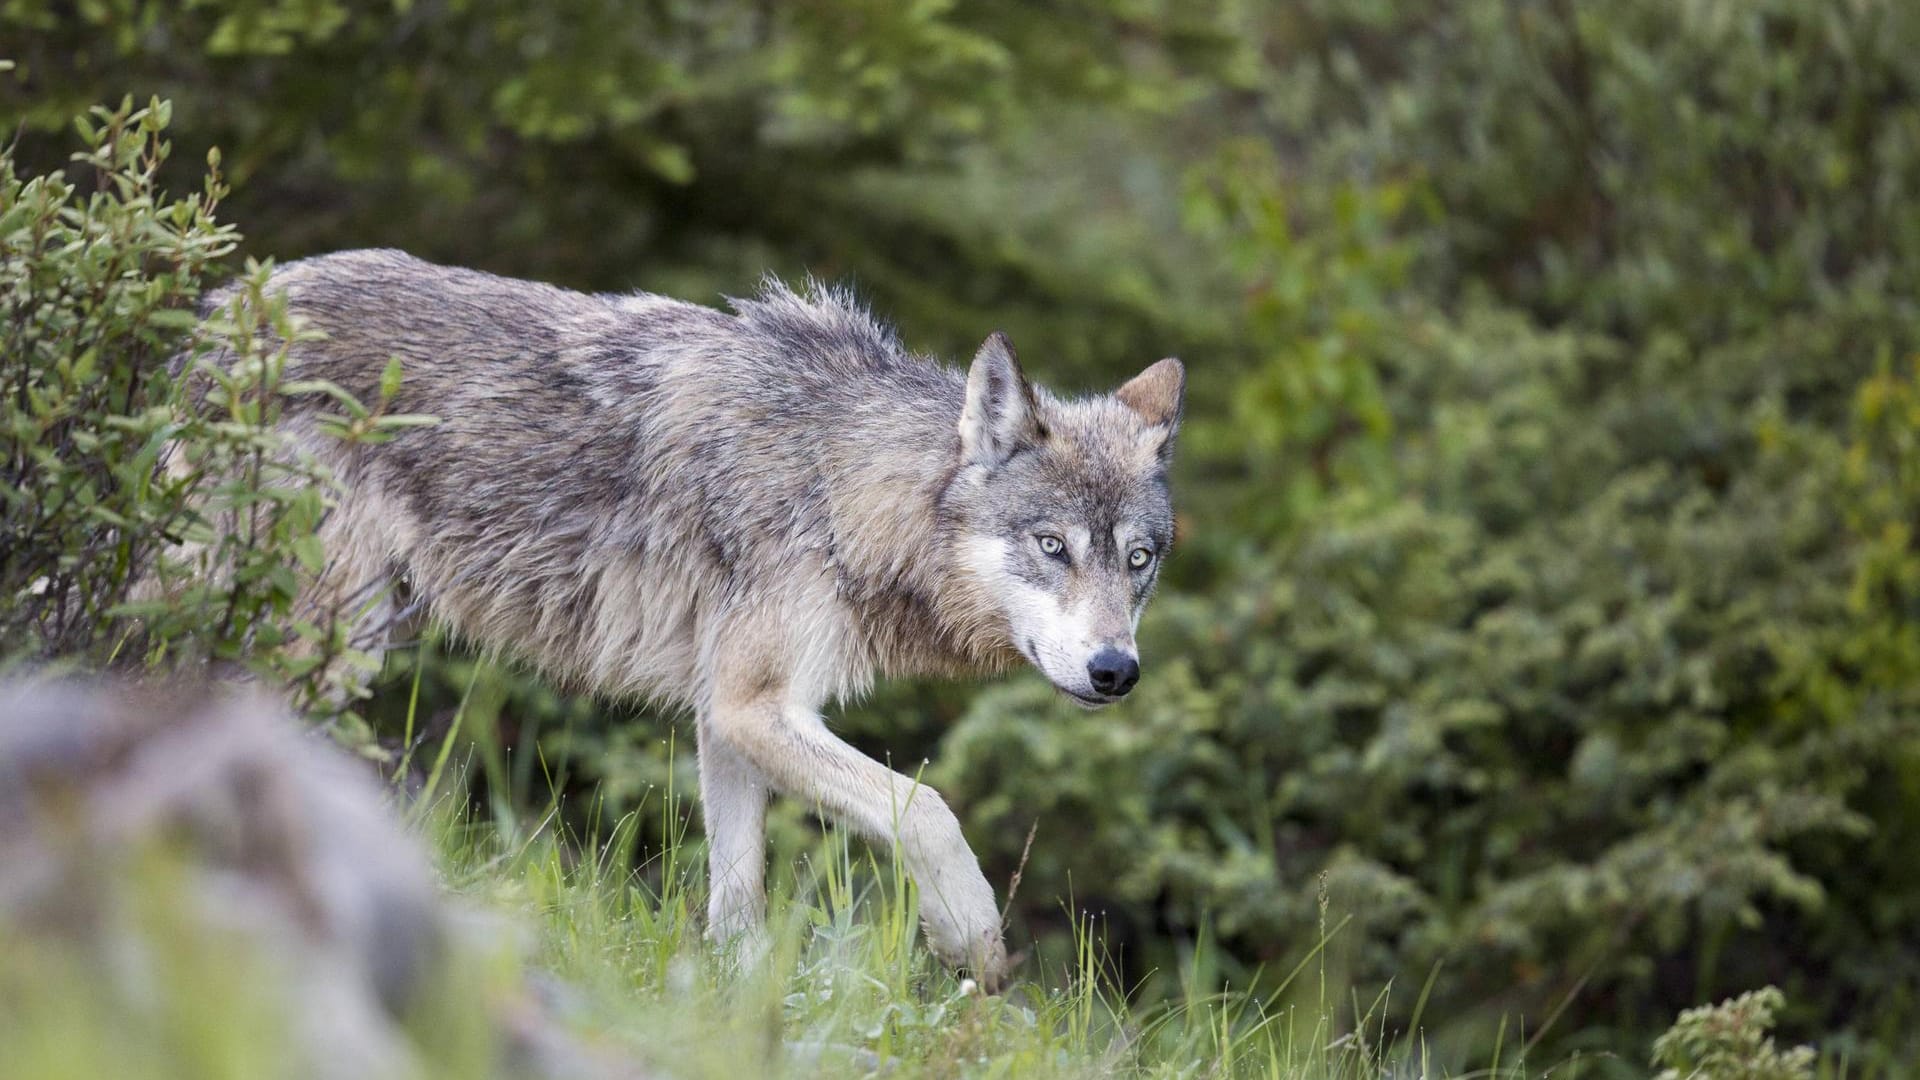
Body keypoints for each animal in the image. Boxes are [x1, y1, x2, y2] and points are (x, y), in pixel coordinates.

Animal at [206, 249, 1182, 983]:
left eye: (1138, 561)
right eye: (1053, 546)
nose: (1116, 672)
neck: (840, 481)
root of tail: (224, 309)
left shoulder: (727, 713)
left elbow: (737, 895)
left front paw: (735, 1001)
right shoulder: (755, 706)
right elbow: (927, 806)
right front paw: (973, 939)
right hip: (331, 639)